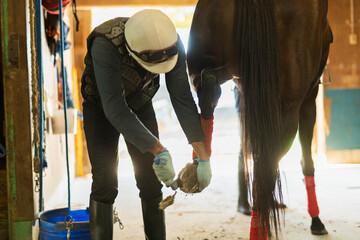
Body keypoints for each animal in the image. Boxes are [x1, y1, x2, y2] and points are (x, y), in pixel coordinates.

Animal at [187, 0, 334, 238]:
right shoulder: (308, 99)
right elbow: (306, 161)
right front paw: (316, 221)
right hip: (288, 110)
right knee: (266, 164)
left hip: (207, 65)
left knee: (208, 91)